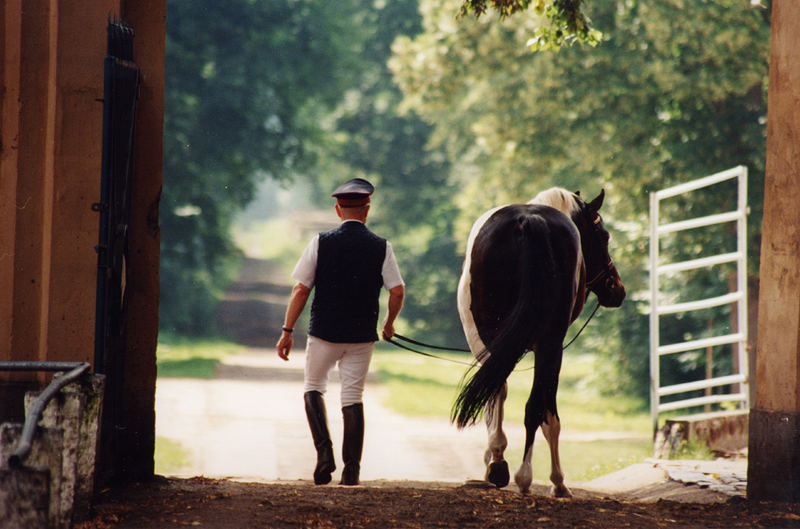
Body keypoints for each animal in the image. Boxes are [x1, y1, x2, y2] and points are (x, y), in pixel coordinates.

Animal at [454, 187, 628, 496]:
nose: (616, 289)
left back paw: (508, 467)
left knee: (506, 392)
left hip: (495, 336)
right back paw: (526, 475)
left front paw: (494, 460)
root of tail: (529, 221)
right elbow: (546, 412)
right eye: (604, 236)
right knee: (533, 405)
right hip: (548, 344)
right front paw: (556, 481)